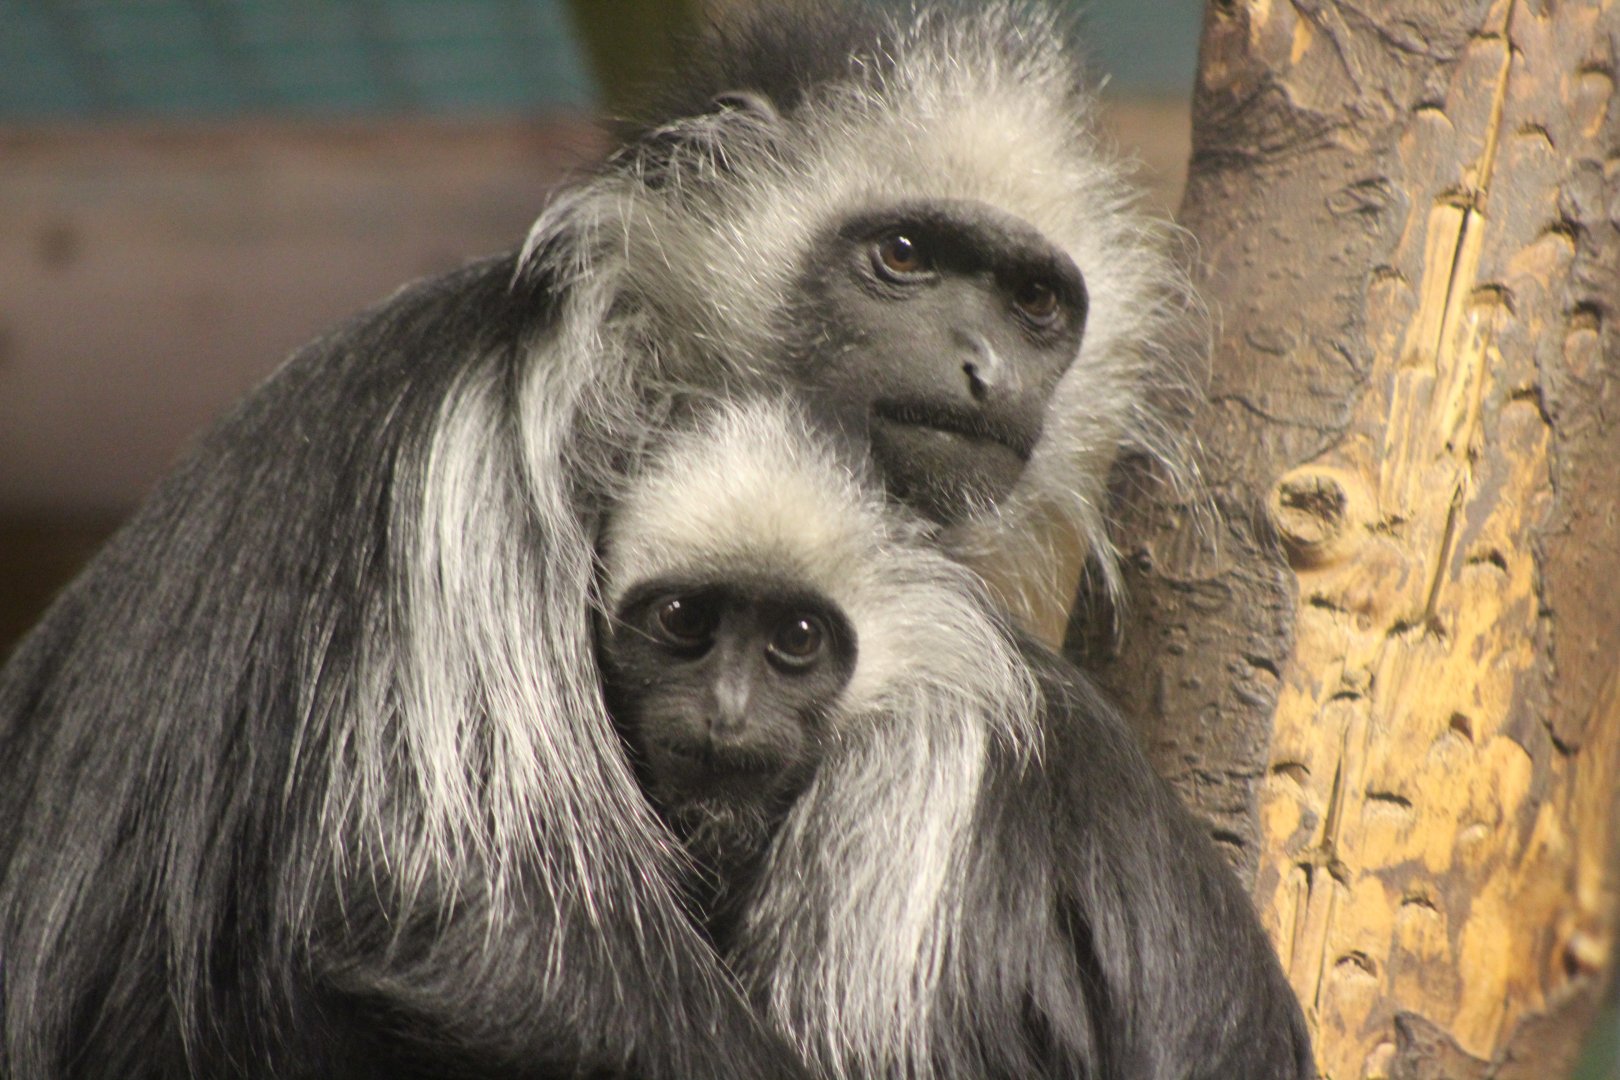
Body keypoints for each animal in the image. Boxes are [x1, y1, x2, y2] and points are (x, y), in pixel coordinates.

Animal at [1, 4, 1228, 1078]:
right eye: (906, 256)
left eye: (1034, 304)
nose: (985, 368)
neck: (651, 372)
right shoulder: (493, 445)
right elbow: (464, 921)